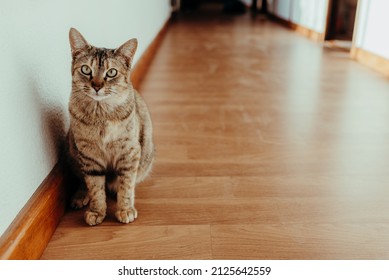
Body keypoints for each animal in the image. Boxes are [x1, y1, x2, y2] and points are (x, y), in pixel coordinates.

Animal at [67, 27, 154, 225]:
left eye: (112, 72)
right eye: (86, 69)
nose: (97, 86)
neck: (101, 116)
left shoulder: (129, 152)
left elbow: (126, 185)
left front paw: (125, 209)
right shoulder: (89, 157)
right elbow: (95, 187)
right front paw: (97, 211)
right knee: (82, 181)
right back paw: (80, 196)